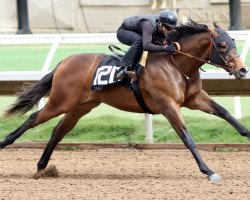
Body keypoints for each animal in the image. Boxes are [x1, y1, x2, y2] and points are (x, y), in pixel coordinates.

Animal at [0, 20, 249, 181]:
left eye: (234, 41)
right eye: (223, 45)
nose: (242, 70)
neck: (176, 64)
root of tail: (64, 61)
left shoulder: (195, 98)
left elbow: (224, 113)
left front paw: (247, 133)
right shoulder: (168, 105)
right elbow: (187, 138)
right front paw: (209, 171)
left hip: (81, 107)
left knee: (57, 132)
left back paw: (43, 168)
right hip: (60, 101)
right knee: (33, 119)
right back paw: (6, 143)